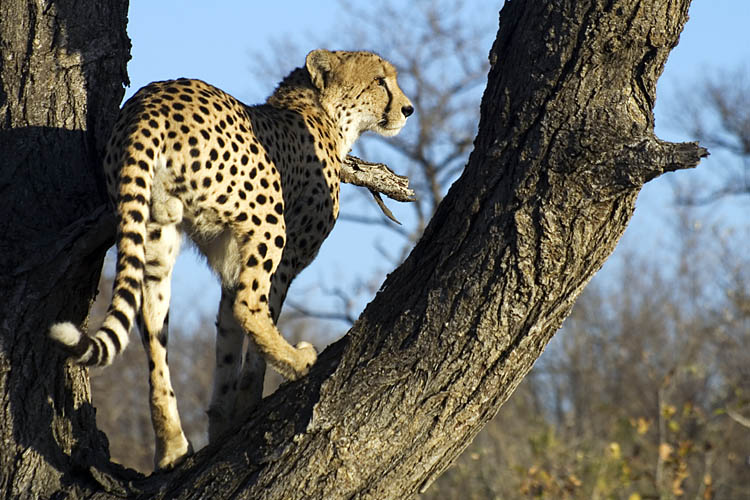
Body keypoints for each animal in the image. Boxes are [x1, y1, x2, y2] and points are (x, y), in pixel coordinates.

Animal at [50, 49, 414, 468]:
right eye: (379, 81)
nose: (408, 109)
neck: (320, 111)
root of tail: (149, 104)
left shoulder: (231, 264)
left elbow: (226, 341)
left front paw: (222, 419)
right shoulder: (286, 257)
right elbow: (256, 319)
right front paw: (249, 401)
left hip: (156, 233)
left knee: (153, 333)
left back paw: (172, 445)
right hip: (267, 218)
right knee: (248, 306)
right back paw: (299, 360)